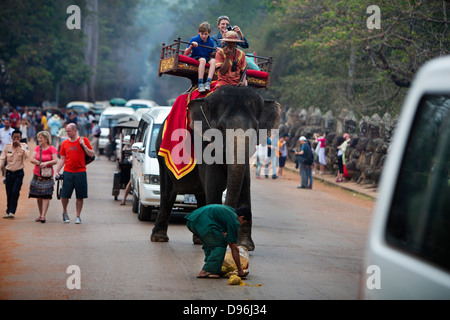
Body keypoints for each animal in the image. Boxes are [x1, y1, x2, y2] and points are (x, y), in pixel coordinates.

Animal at [151, 85, 282, 252]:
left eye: (255, 128)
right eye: (221, 127)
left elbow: (244, 185)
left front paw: (245, 245)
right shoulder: (203, 144)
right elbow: (214, 185)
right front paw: (217, 241)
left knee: (201, 193)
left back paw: (198, 240)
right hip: (162, 156)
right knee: (168, 193)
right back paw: (159, 238)